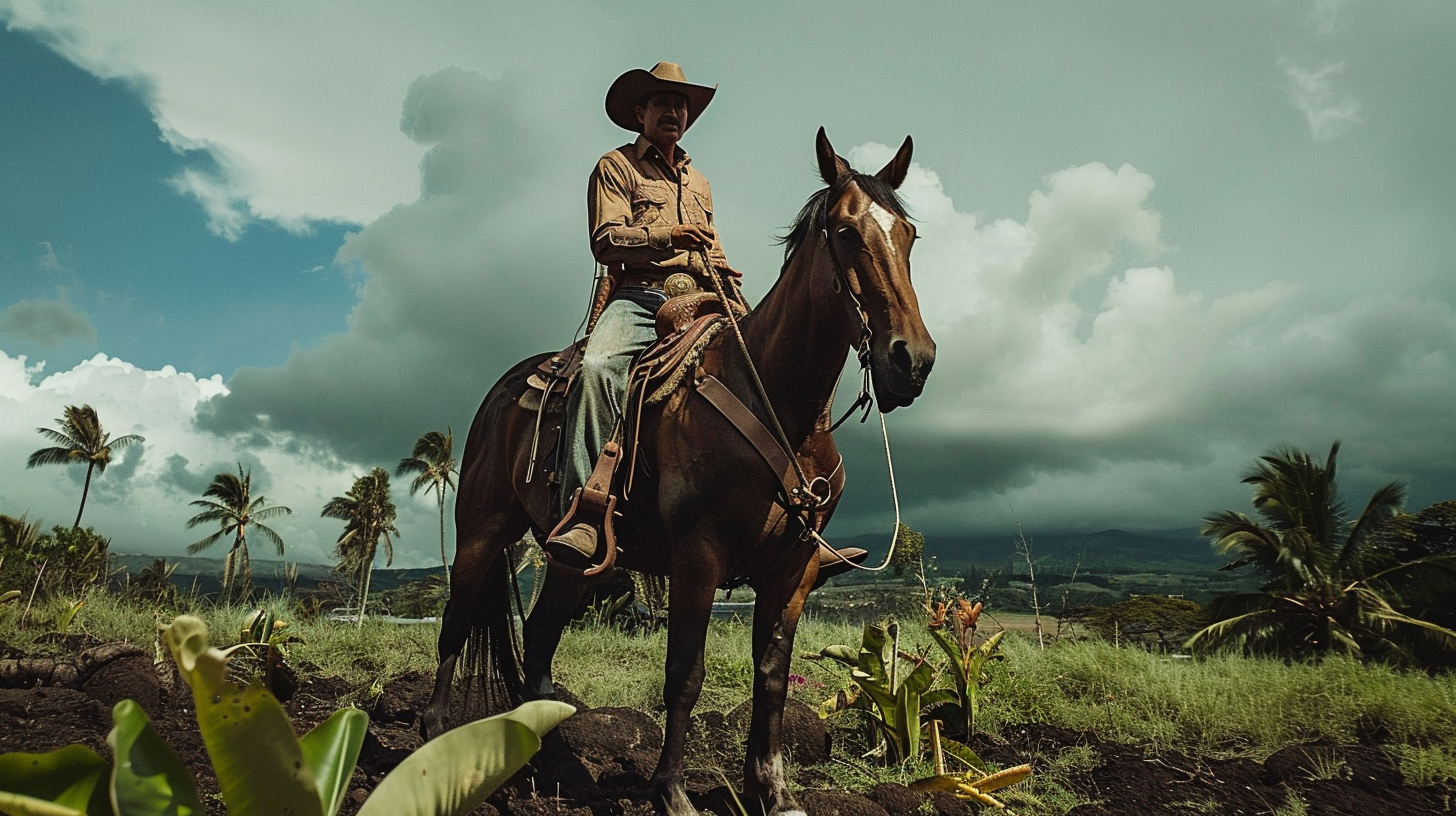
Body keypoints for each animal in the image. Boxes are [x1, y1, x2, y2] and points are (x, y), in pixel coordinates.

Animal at [425, 130, 937, 810]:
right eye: (848, 232)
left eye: (909, 235)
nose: (912, 359)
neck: (775, 401)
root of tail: (502, 390)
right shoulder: (699, 556)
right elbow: (684, 677)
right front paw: (671, 793)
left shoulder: (794, 571)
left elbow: (773, 681)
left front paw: (773, 793)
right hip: (481, 530)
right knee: (456, 622)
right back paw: (434, 737)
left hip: (574, 561)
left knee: (538, 637)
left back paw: (554, 760)